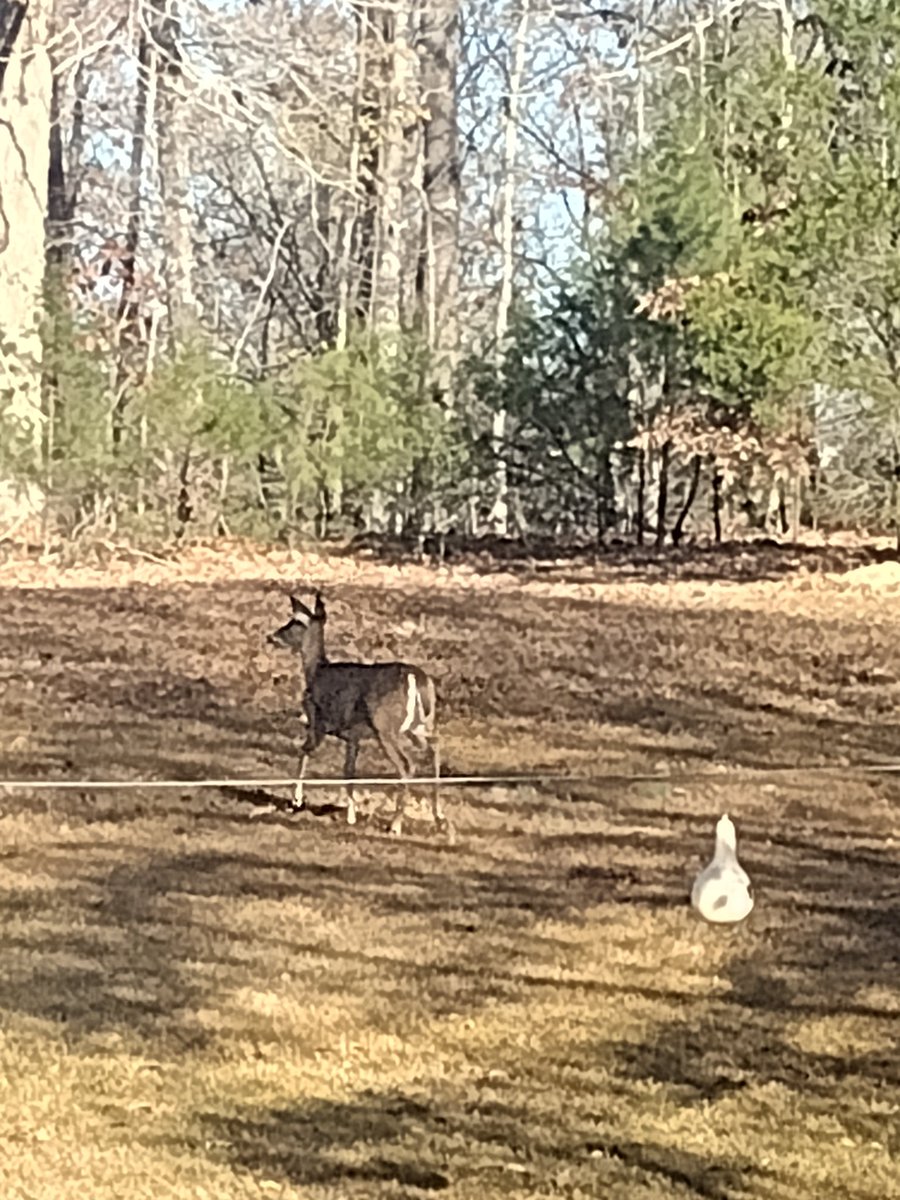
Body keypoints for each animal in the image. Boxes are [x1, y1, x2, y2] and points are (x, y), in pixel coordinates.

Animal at [267, 591, 445, 837]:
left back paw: (396, 824)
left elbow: (303, 752)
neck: (316, 672)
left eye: (296, 621)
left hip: (385, 727)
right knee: (435, 748)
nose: (272, 636)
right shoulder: (353, 736)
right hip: (421, 725)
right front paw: (351, 815)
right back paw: (439, 816)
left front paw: (296, 800)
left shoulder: (319, 723)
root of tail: (416, 679)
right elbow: (349, 770)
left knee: (407, 764)